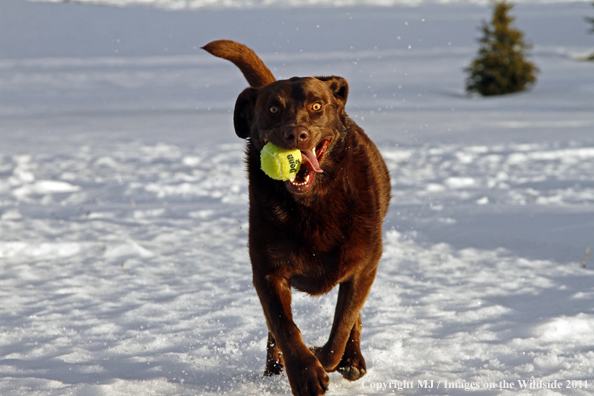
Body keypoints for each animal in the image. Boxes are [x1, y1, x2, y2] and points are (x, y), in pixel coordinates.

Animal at [201, 40, 390, 396]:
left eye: (317, 106)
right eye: (273, 109)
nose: (296, 134)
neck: (312, 205)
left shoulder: (363, 266)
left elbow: (341, 327)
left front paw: (325, 357)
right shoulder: (267, 270)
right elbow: (283, 324)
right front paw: (304, 373)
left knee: (352, 322)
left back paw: (353, 360)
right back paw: (275, 368)